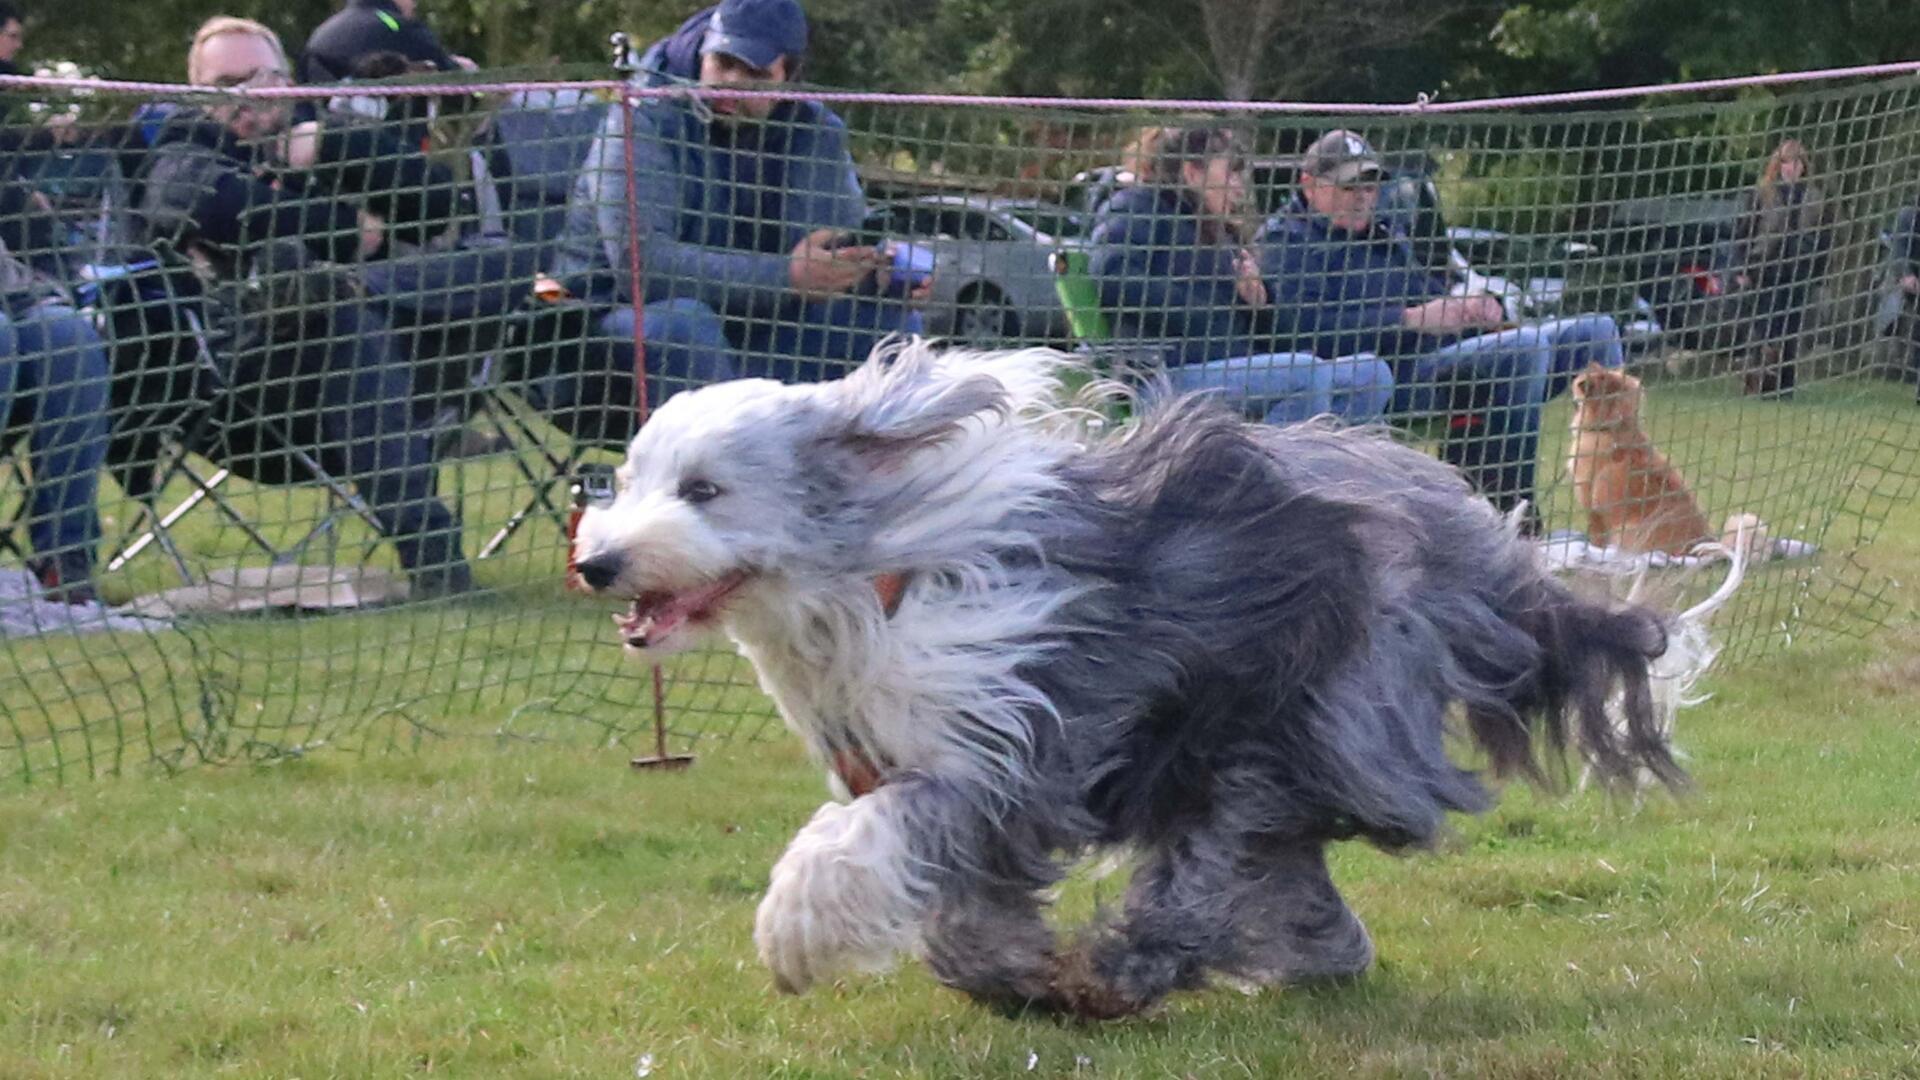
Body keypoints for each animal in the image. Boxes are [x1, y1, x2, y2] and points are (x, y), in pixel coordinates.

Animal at [568, 340, 1681, 1014]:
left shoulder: (1013, 750)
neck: (876, 577)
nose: (599, 563)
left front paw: (794, 936)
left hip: (1305, 714)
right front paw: (1004, 970)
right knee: (1273, 862)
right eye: (626, 480)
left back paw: (1126, 971)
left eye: (705, 490)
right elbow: (958, 896)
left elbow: (871, 841)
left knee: (1215, 862)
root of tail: (1479, 548)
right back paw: (1316, 957)